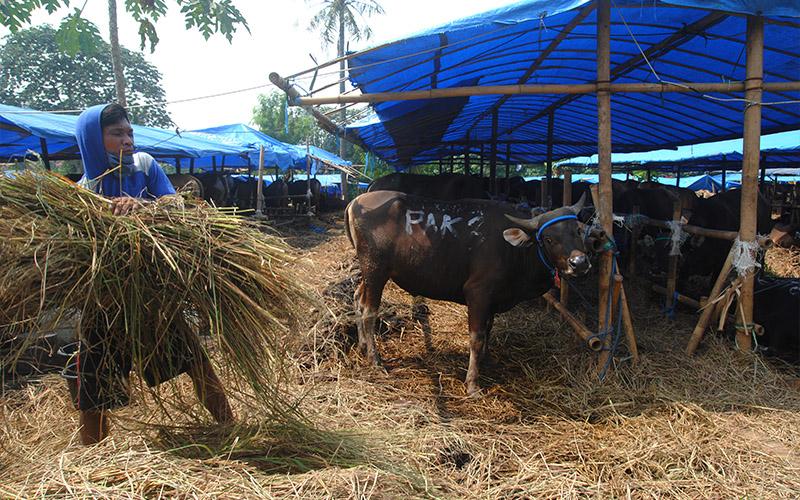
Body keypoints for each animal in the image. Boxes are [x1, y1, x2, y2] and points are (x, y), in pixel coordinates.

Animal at [344, 190, 588, 394]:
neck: (513, 250)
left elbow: (489, 329)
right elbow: (476, 337)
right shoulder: (478, 293)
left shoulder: (492, 300)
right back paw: (375, 360)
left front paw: (487, 360)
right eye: (549, 238)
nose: (579, 263)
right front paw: (472, 383)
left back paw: (363, 344)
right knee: (369, 312)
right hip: (376, 272)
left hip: (368, 275)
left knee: (357, 299)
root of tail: (356, 201)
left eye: (577, 231)